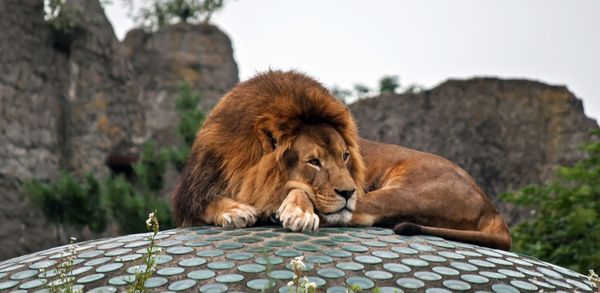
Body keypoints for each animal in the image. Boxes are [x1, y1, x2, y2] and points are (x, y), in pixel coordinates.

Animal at [172, 69, 510, 249]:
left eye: (345, 156)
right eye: (313, 161)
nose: (347, 191)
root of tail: (492, 207)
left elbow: (301, 194)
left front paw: (297, 211)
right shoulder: (192, 192)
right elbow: (206, 203)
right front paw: (234, 211)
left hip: (408, 191)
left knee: (358, 214)